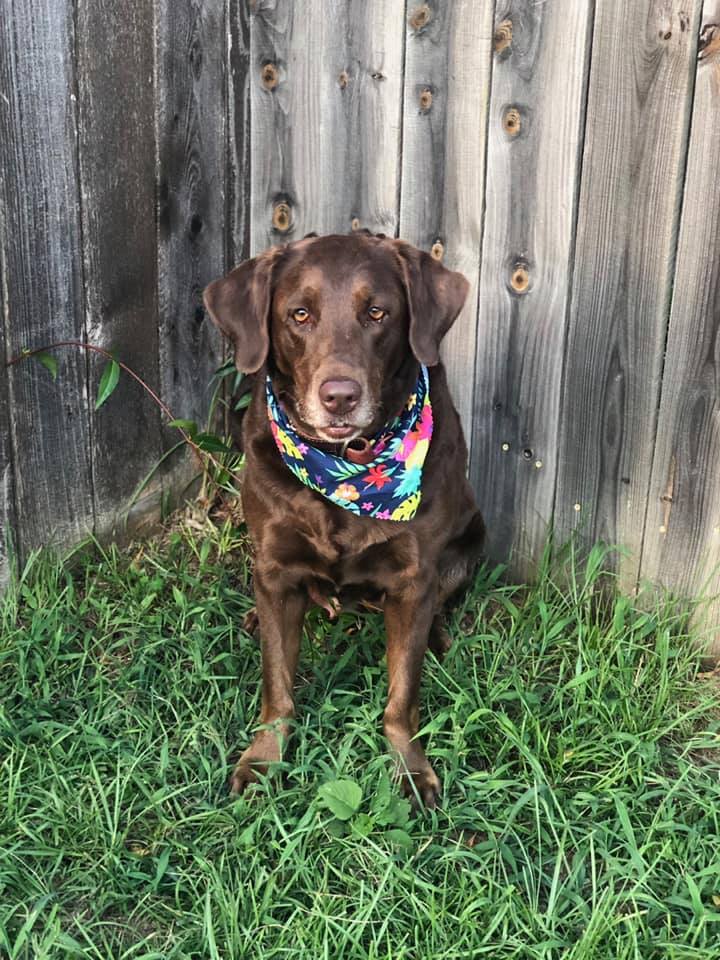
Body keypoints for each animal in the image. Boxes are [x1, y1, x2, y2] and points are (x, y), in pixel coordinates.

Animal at [202, 234, 484, 808]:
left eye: (377, 312)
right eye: (299, 314)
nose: (339, 396)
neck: (346, 469)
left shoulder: (413, 576)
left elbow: (402, 693)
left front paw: (409, 766)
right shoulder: (275, 566)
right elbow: (277, 683)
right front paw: (264, 757)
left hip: (471, 541)